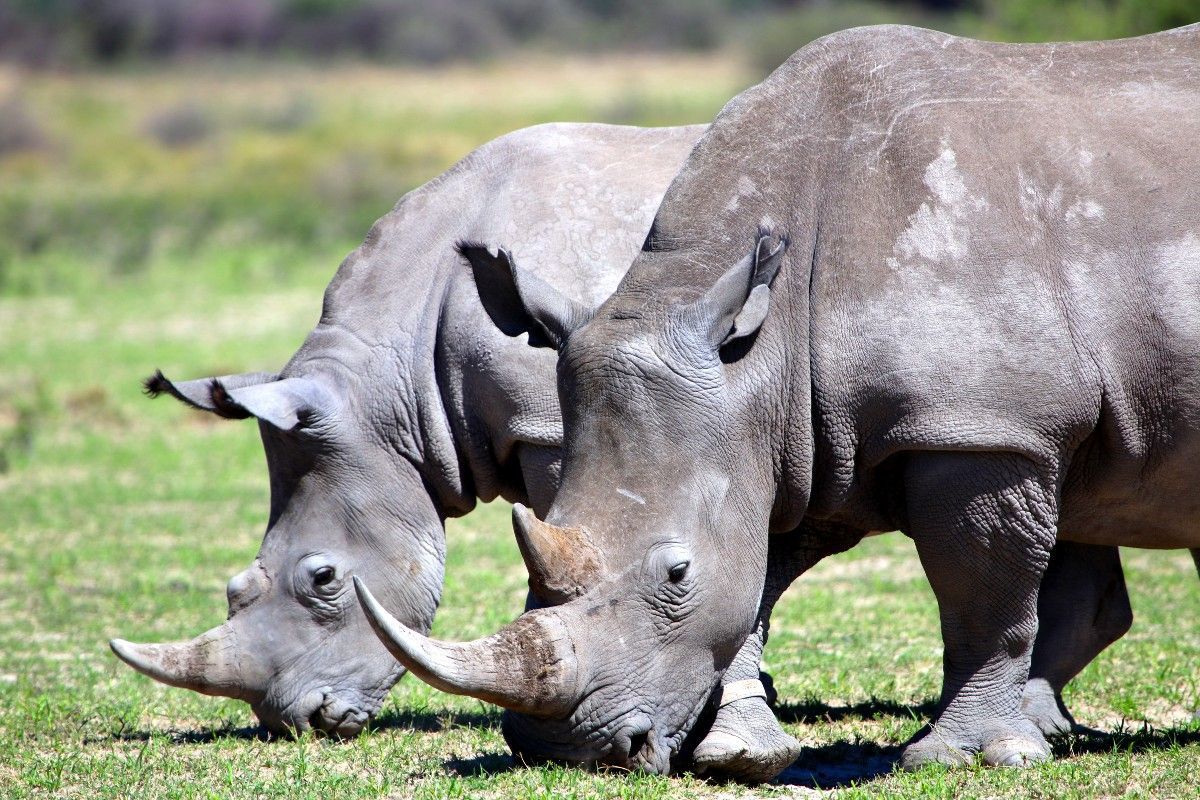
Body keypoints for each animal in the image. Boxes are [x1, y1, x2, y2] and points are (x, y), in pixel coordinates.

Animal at [356, 24, 1200, 778]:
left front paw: (965, 757)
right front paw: (739, 752)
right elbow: (754, 586)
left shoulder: (982, 429)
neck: (764, 348)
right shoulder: (791, 435)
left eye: (677, 574)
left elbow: (984, 599)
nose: (567, 751)